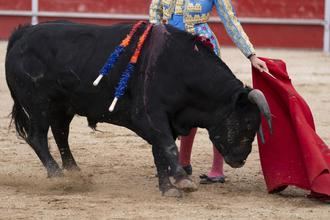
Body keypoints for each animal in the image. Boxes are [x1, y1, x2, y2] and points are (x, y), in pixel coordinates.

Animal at [5, 21, 272, 197]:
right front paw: (182, 181)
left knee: (61, 135)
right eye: (249, 122)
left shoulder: (167, 121)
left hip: (63, 106)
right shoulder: (152, 116)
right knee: (37, 137)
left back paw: (74, 172)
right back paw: (58, 175)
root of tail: (22, 33)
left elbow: (160, 152)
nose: (240, 159)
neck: (181, 69)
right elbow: (168, 147)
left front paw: (167, 188)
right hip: (38, 104)